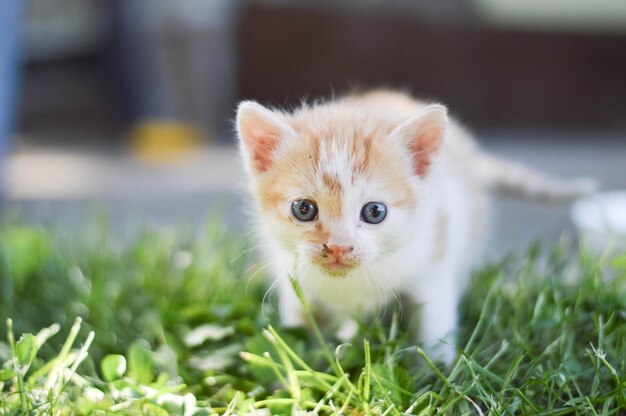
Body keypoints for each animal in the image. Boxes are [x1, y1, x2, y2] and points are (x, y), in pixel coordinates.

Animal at [233, 90, 588, 360]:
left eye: (374, 212)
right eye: (304, 209)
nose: (338, 247)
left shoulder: (434, 259)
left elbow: (435, 325)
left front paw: (436, 378)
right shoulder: (293, 279)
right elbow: (299, 332)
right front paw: (294, 371)